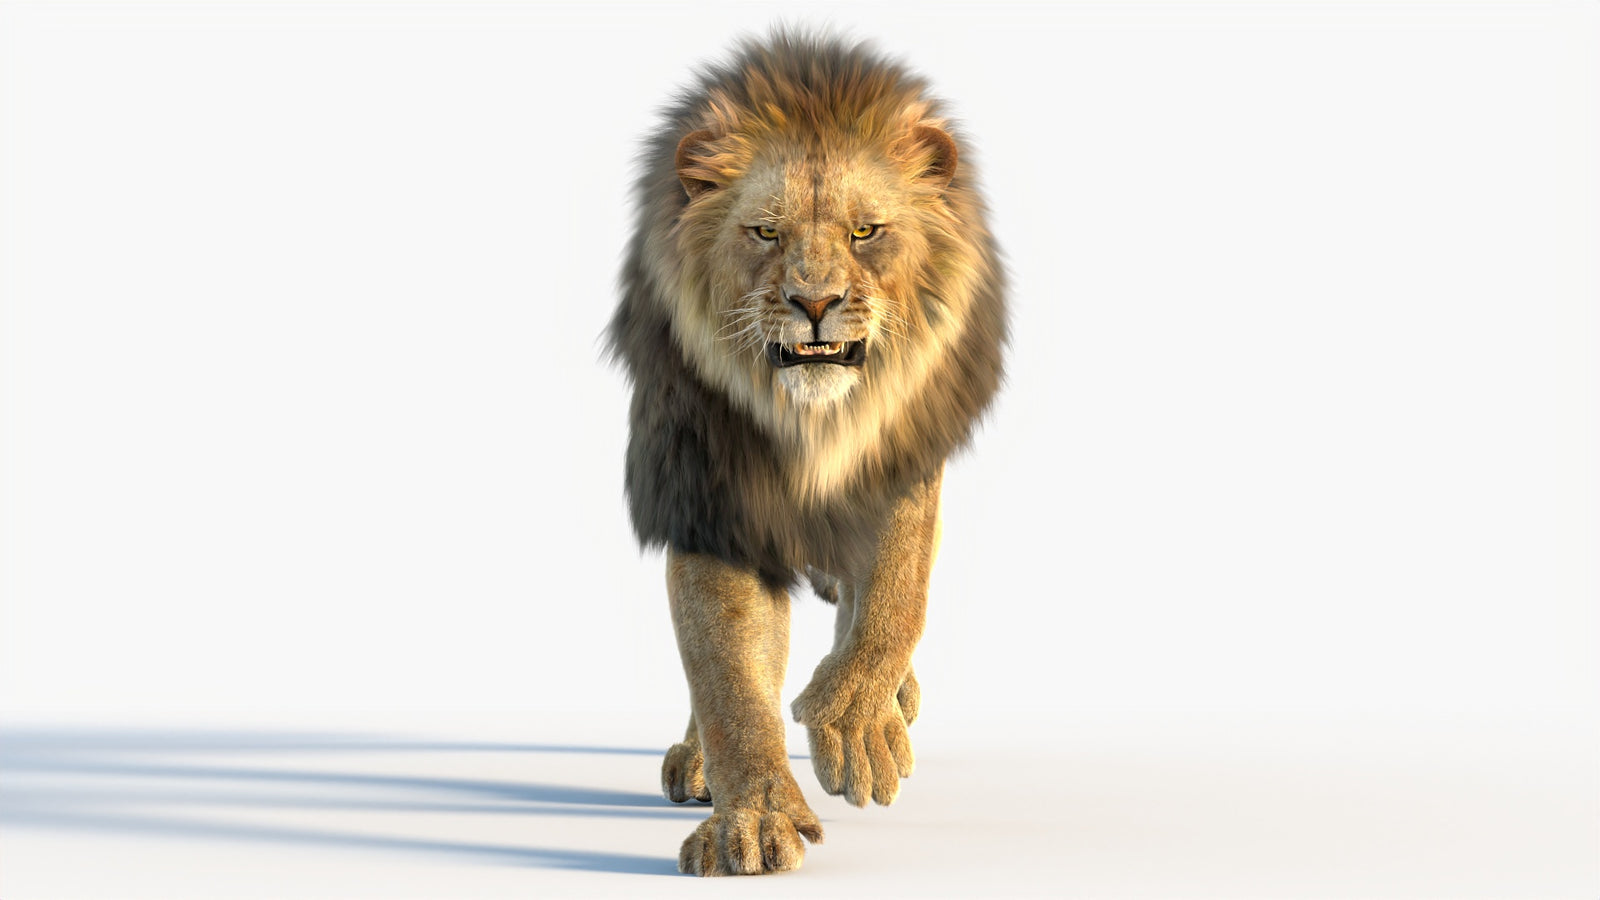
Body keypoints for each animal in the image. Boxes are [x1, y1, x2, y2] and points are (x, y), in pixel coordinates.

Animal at [606, 31, 1006, 876]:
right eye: (766, 233)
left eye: (865, 232)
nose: (814, 302)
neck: (810, 425)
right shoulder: (708, 494)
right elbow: (727, 670)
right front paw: (753, 819)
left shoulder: (902, 456)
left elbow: (896, 590)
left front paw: (856, 721)